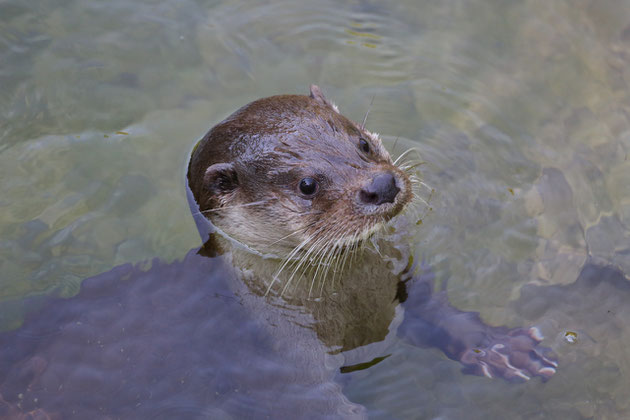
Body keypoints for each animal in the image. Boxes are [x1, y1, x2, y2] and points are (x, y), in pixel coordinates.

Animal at [2, 86, 560, 420]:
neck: (349, 305)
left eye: (360, 143)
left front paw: (503, 349)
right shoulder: (281, 364)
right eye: (307, 184)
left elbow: (439, 313)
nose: (381, 184)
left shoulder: (400, 278)